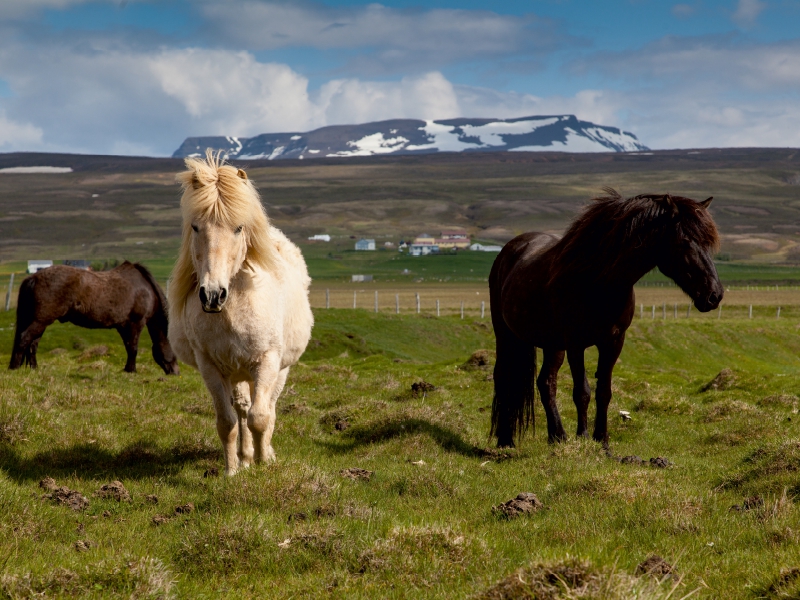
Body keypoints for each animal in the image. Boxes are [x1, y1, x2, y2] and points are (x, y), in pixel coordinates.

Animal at [9, 262, 179, 376]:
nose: (176, 373)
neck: (147, 291)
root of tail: (34, 277)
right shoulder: (135, 324)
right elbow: (133, 349)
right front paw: (131, 370)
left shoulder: (123, 326)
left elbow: (129, 347)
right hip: (41, 321)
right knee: (24, 339)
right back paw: (15, 368)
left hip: (40, 322)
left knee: (33, 344)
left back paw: (34, 369)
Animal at [169, 152, 312, 476]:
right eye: (195, 227)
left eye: (238, 228)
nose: (212, 295)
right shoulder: (210, 367)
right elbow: (228, 422)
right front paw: (233, 470)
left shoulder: (268, 361)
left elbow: (261, 417)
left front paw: (262, 462)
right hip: (236, 373)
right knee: (242, 407)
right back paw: (245, 456)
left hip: (278, 370)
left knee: (267, 407)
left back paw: (264, 453)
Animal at [490, 190, 720, 448]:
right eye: (685, 242)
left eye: (708, 244)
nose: (714, 295)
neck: (599, 280)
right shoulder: (575, 343)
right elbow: (582, 391)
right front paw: (583, 436)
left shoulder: (613, 341)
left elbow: (604, 391)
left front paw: (602, 440)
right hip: (505, 333)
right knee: (504, 376)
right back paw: (506, 440)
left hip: (552, 344)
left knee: (546, 382)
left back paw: (557, 436)